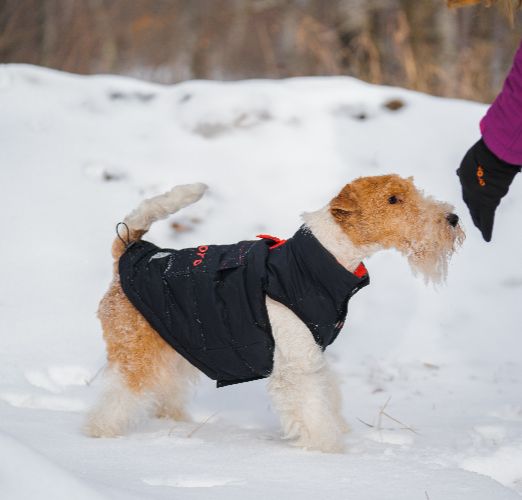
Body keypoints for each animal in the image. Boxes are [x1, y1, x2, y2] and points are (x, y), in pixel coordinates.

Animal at [85, 175, 464, 453]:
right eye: (393, 200)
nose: (453, 218)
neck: (320, 260)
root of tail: (129, 253)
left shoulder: (311, 354)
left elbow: (327, 396)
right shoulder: (297, 365)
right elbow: (312, 410)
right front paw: (328, 449)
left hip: (172, 345)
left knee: (164, 390)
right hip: (136, 352)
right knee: (118, 396)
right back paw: (99, 433)